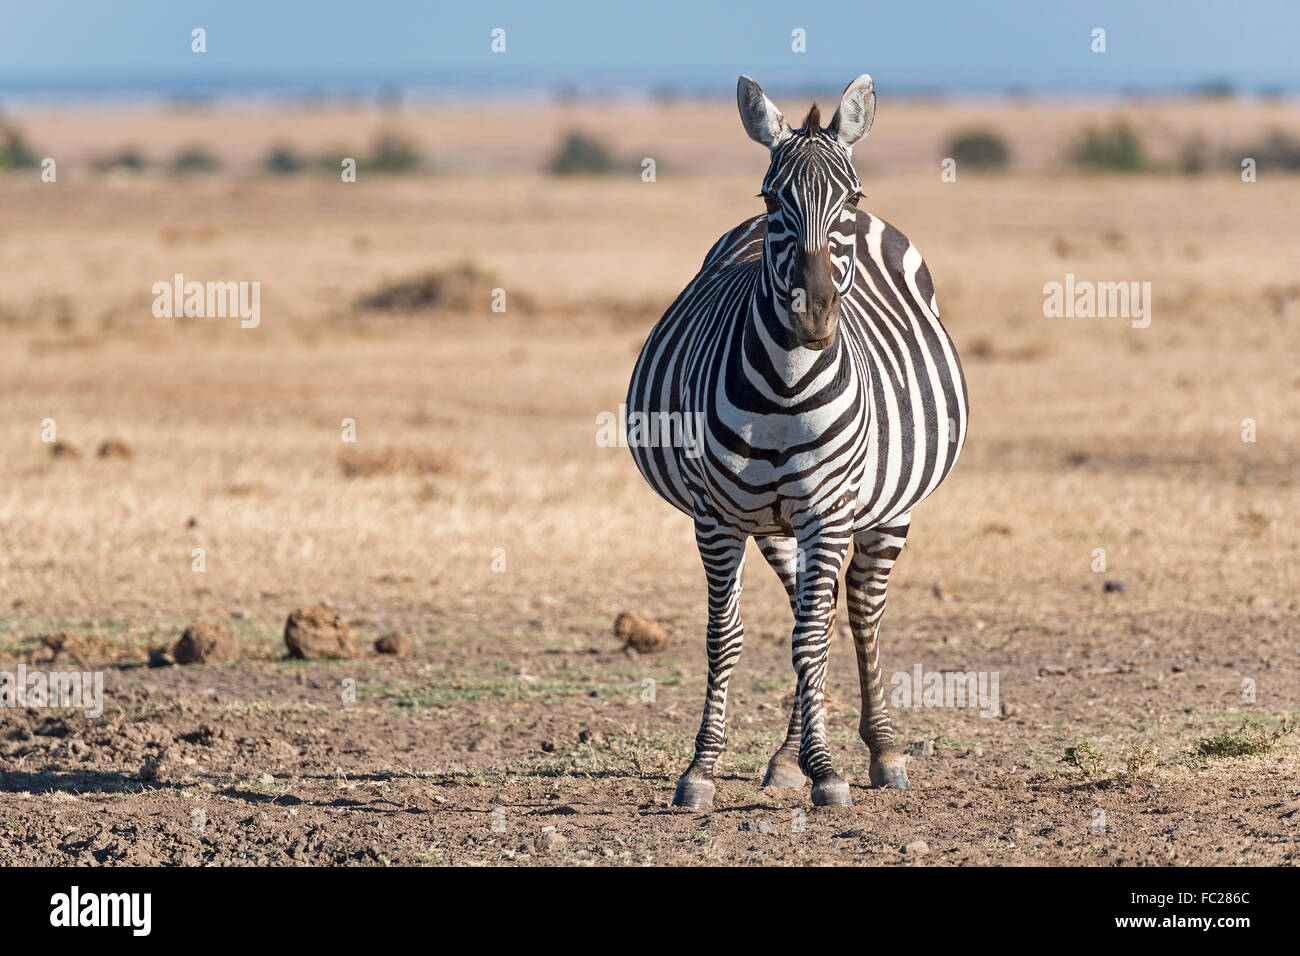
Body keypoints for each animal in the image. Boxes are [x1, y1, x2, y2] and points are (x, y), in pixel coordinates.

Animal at [625, 74, 968, 808]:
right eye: (770, 198)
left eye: (852, 198)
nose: (813, 314)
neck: (785, 387)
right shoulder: (715, 517)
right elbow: (727, 636)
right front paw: (704, 767)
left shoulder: (829, 510)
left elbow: (811, 638)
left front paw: (830, 771)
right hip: (776, 524)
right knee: (814, 613)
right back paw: (788, 759)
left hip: (886, 508)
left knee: (857, 608)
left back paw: (880, 752)